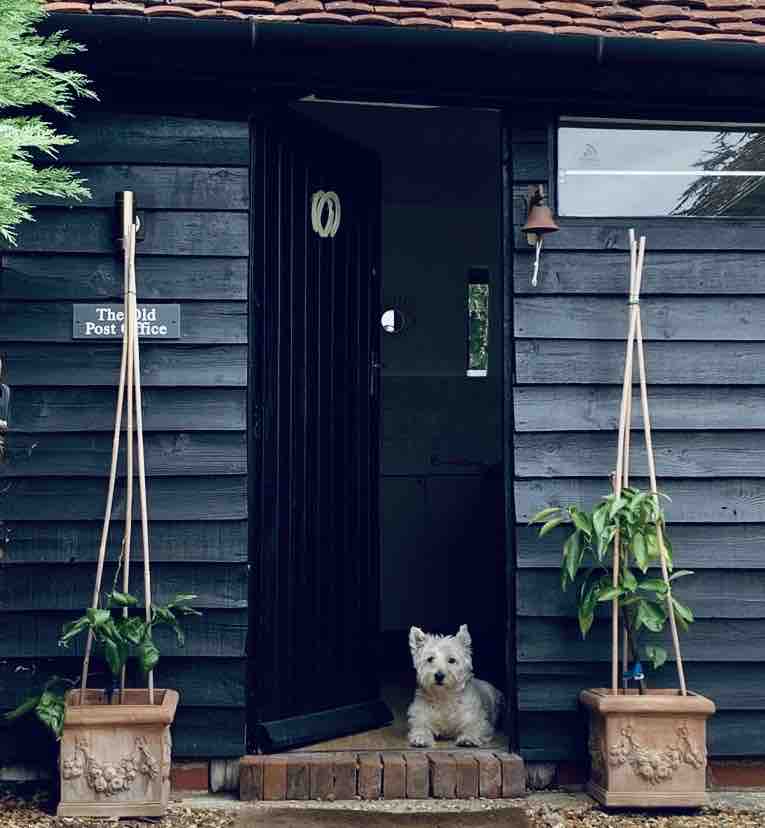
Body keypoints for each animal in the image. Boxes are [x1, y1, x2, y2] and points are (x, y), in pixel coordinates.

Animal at [402, 620, 504, 752]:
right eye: (430, 659)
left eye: (451, 660)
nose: (439, 676)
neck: (444, 696)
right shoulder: (420, 717)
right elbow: (421, 727)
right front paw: (421, 738)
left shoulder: (478, 720)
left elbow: (474, 727)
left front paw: (468, 739)